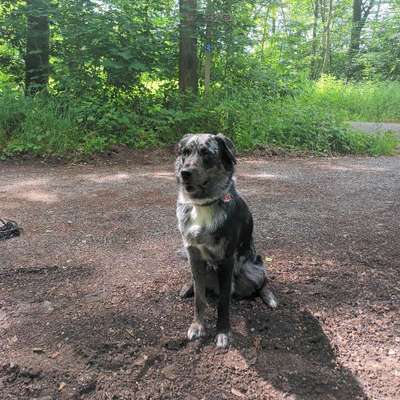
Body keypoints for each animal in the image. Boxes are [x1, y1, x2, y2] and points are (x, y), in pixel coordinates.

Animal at [177, 134, 276, 346]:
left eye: (207, 153)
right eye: (185, 152)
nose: (184, 173)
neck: (202, 205)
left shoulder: (226, 259)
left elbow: (223, 302)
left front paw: (223, 332)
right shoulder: (194, 255)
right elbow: (199, 298)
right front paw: (197, 326)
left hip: (254, 269)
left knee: (262, 283)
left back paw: (269, 297)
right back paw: (187, 287)